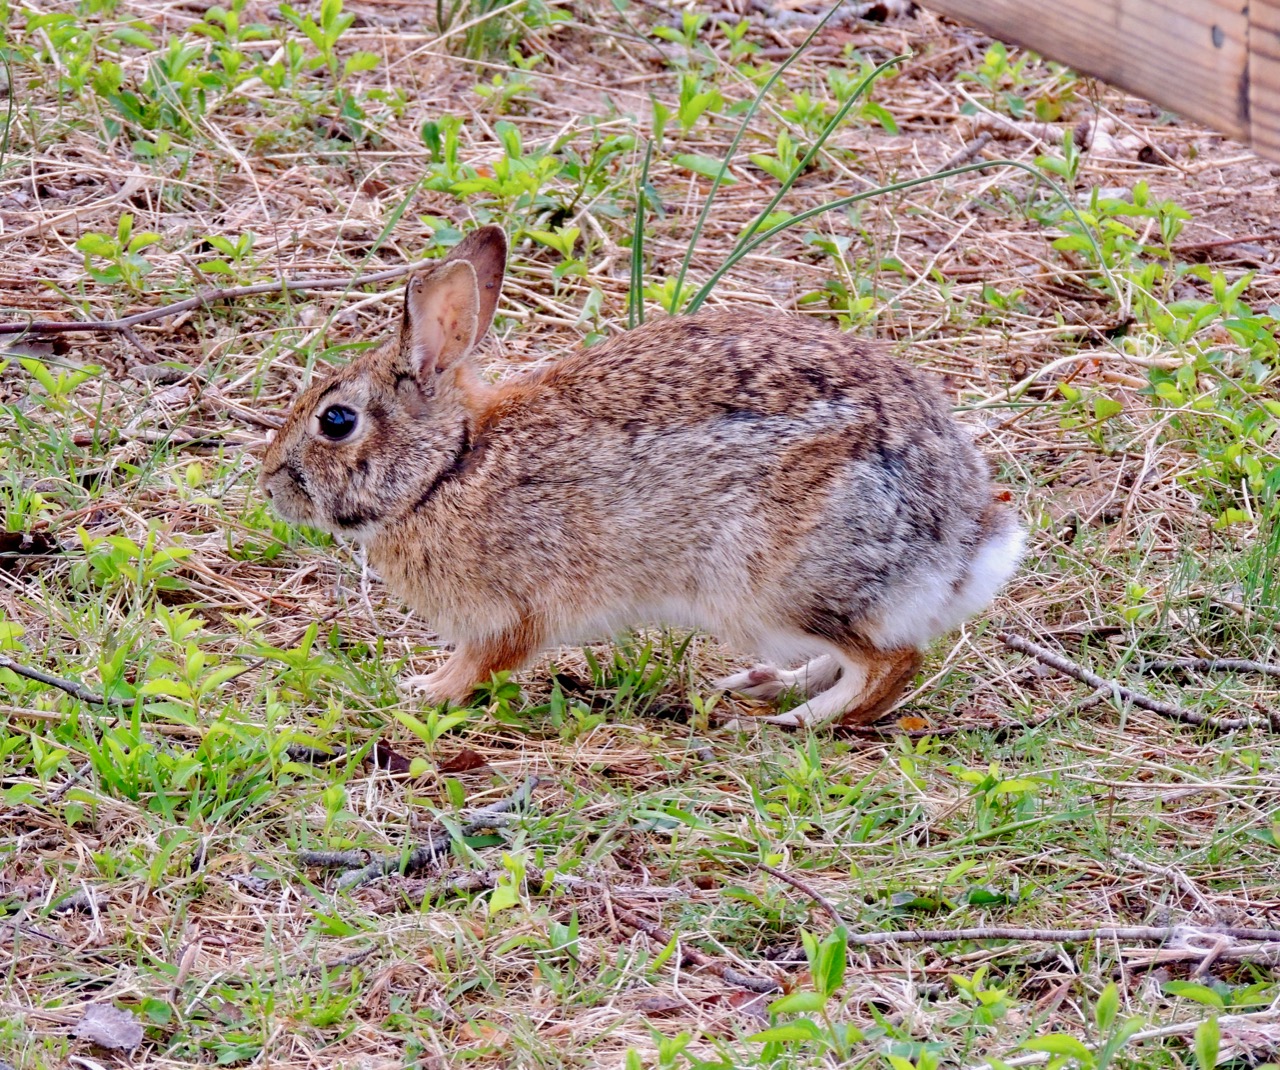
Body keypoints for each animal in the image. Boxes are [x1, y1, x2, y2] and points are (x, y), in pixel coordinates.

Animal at [257, 225, 1018, 726]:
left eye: (336, 421)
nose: (270, 483)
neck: (448, 468)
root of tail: (965, 540)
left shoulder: (513, 611)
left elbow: (482, 663)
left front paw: (425, 692)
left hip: (774, 585)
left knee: (891, 665)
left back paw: (794, 721)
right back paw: (767, 687)